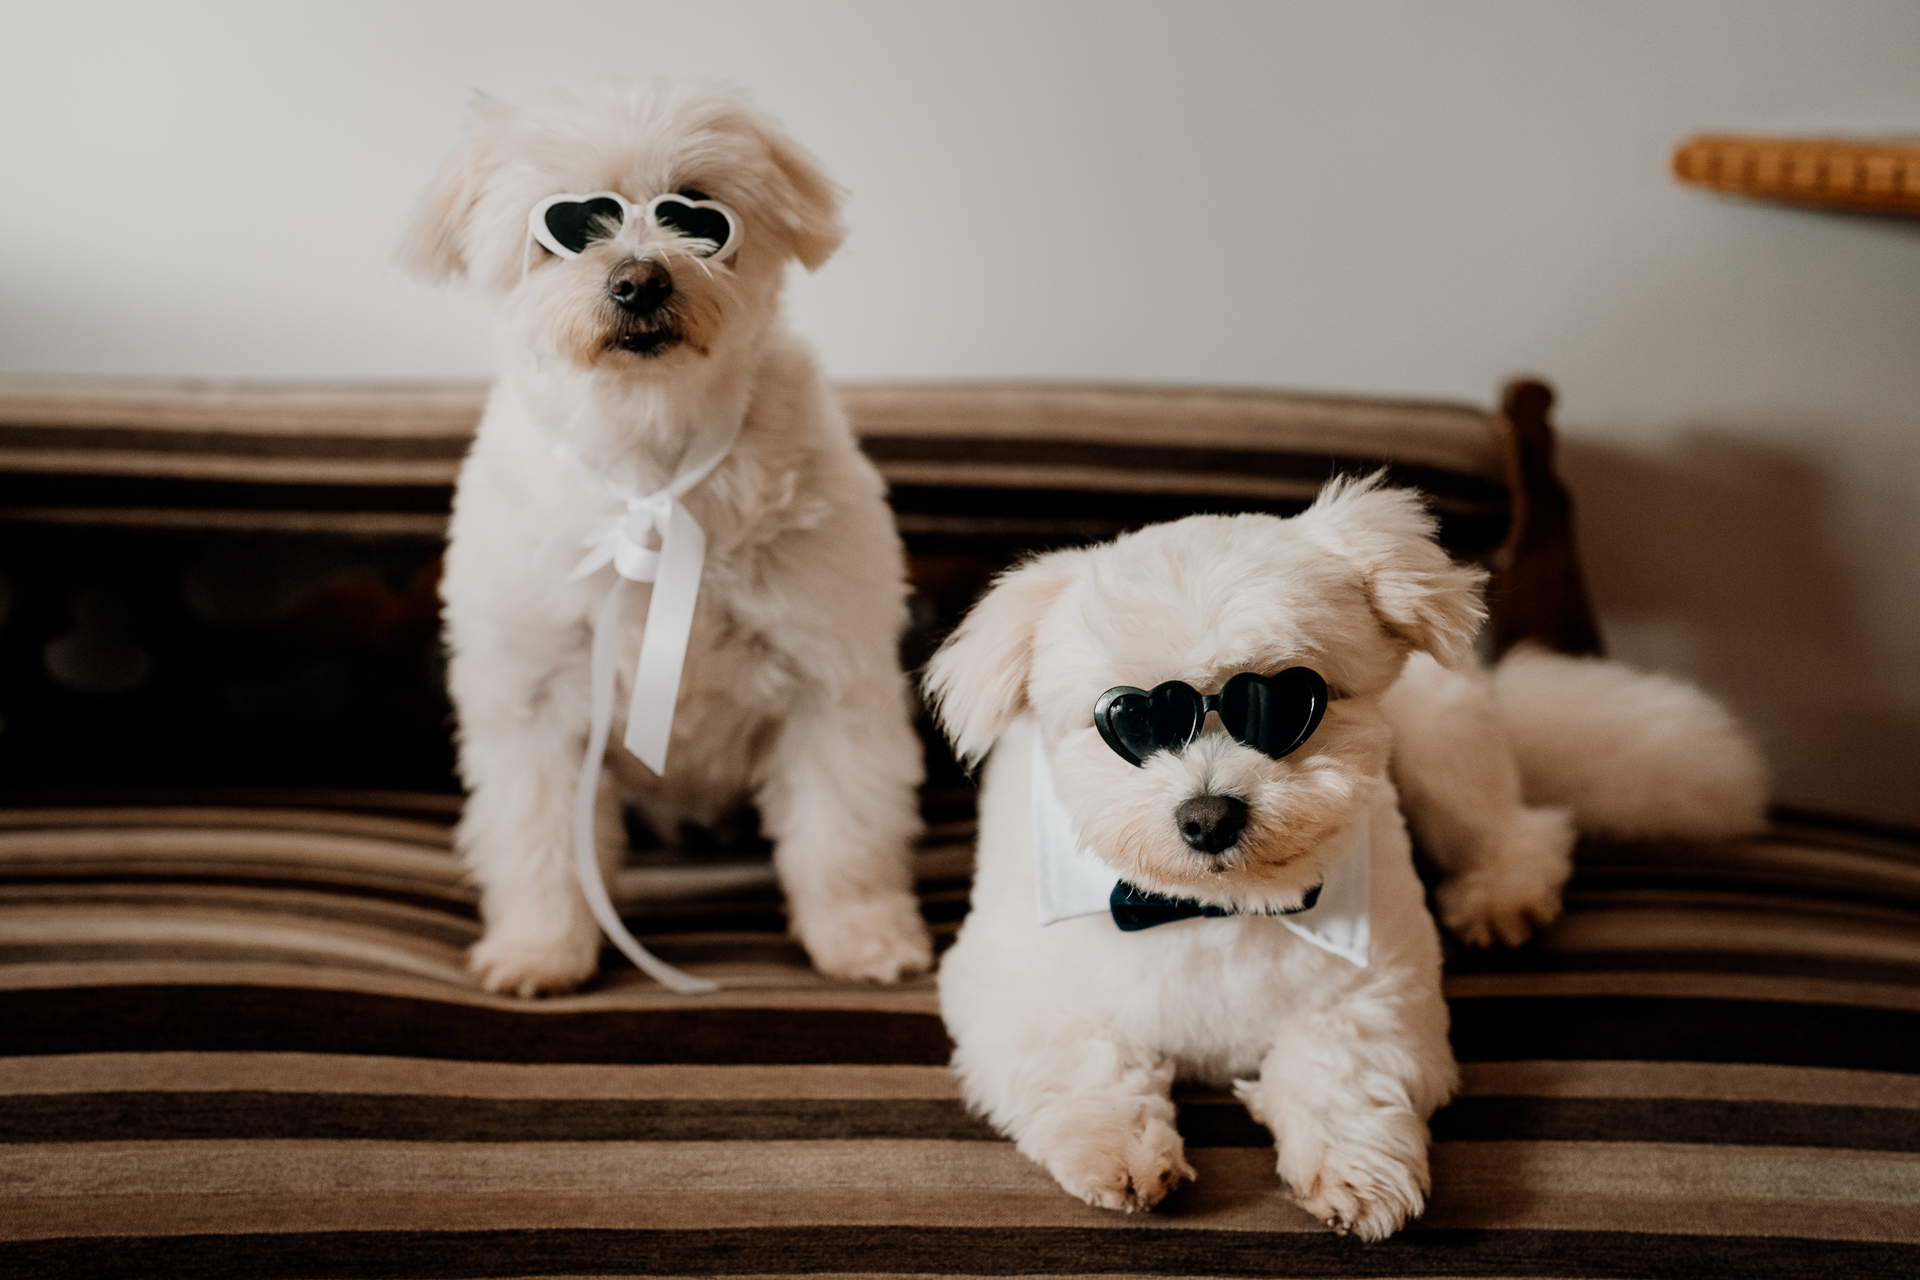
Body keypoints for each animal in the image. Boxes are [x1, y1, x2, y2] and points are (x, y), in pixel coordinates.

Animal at [403, 82, 929, 997]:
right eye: (571, 222)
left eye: (698, 211)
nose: (640, 279)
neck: (653, 460)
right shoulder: (533, 708)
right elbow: (541, 848)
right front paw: (541, 951)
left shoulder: (830, 689)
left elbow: (842, 840)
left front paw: (863, 940)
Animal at [921, 475, 1758, 1235]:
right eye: (1127, 719)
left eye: (1287, 701)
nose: (1208, 816)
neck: (1212, 909)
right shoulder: (1008, 983)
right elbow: (1084, 1059)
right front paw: (1118, 1149)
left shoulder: (1380, 988)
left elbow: (1343, 1071)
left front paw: (1358, 1172)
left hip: (1443, 749)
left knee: (1521, 831)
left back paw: (1500, 896)